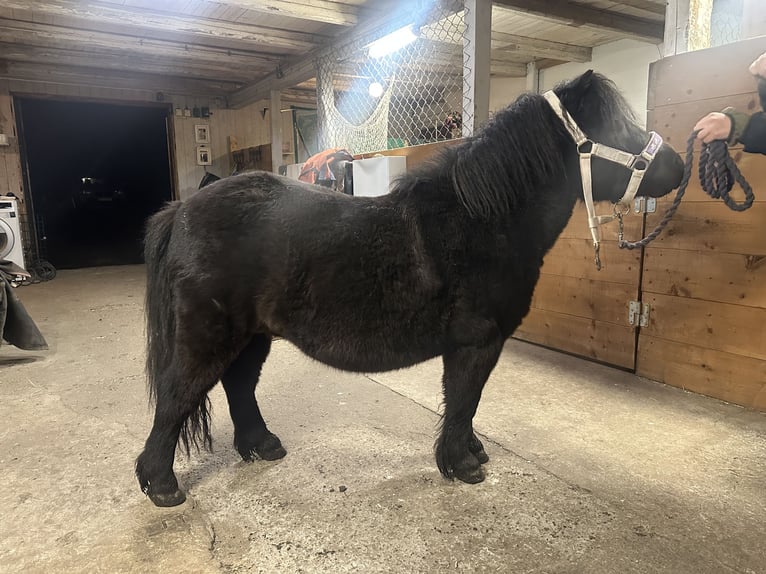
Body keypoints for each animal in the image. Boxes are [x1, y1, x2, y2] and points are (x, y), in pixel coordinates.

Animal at [136, 71, 684, 507]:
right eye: (617, 129)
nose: (679, 168)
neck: (480, 220)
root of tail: (182, 210)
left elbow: (465, 404)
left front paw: (469, 452)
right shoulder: (476, 342)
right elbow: (463, 400)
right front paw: (463, 465)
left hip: (252, 335)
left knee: (239, 386)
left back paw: (261, 445)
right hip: (209, 335)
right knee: (178, 395)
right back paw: (161, 484)